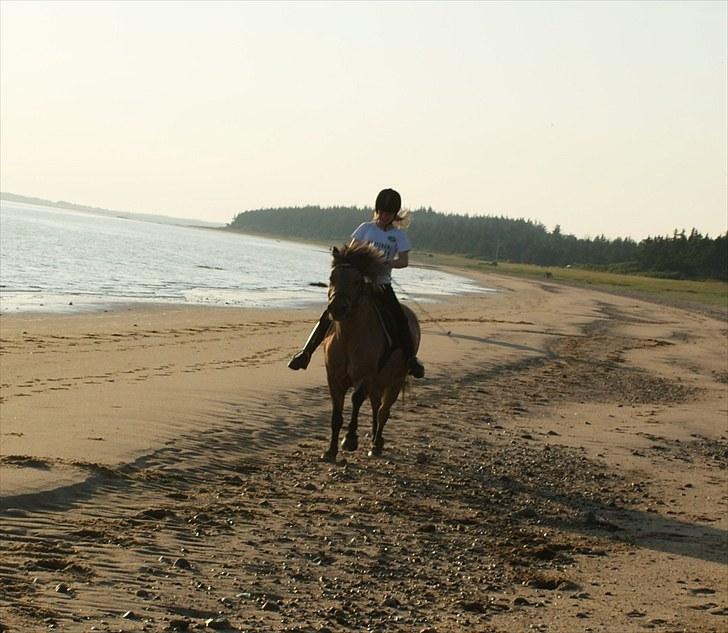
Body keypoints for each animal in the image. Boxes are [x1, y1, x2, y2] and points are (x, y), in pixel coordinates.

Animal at [322, 242, 420, 460]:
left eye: (357, 281)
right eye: (332, 277)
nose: (337, 308)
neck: (349, 337)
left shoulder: (365, 377)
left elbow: (356, 399)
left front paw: (350, 439)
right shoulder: (334, 378)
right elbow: (336, 415)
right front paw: (331, 451)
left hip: (394, 382)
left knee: (384, 411)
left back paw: (376, 444)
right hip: (378, 383)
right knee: (376, 405)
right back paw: (376, 438)